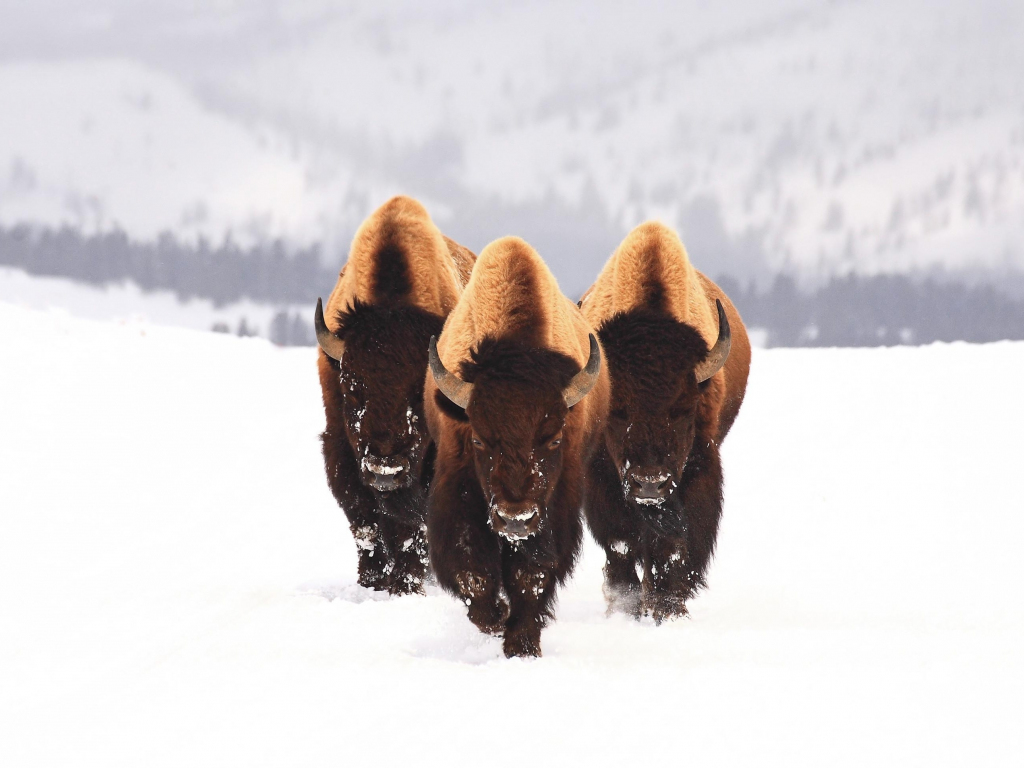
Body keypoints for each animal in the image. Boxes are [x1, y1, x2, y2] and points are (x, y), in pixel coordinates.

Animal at [315, 196, 475, 595]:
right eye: (351, 390)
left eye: (419, 396)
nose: (385, 469)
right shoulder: (340, 447)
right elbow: (365, 520)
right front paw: (372, 582)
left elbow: (410, 528)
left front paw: (406, 584)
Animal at [579, 221, 750, 622]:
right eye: (617, 411)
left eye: (683, 409)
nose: (649, 484)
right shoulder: (602, 480)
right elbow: (622, 545)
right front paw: (625, 609)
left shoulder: (698, 470)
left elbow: (672, 548)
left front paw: (667, 609)